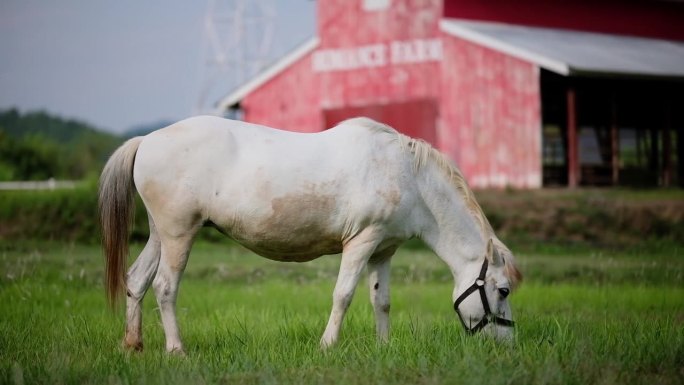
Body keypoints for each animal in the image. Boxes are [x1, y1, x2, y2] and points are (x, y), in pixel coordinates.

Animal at [99, 115, 520, 352]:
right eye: (503, 290)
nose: (507, 344)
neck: (407, 175)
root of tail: (147, 140)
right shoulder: (361, 242)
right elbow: (343, 295)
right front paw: (327, 346)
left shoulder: (383, 250)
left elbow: (381, 300)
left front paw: (384, 347)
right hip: (179, 234)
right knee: (165, 287)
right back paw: (176, 350)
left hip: (160, 234)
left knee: (136, 280)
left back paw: (133, 345)